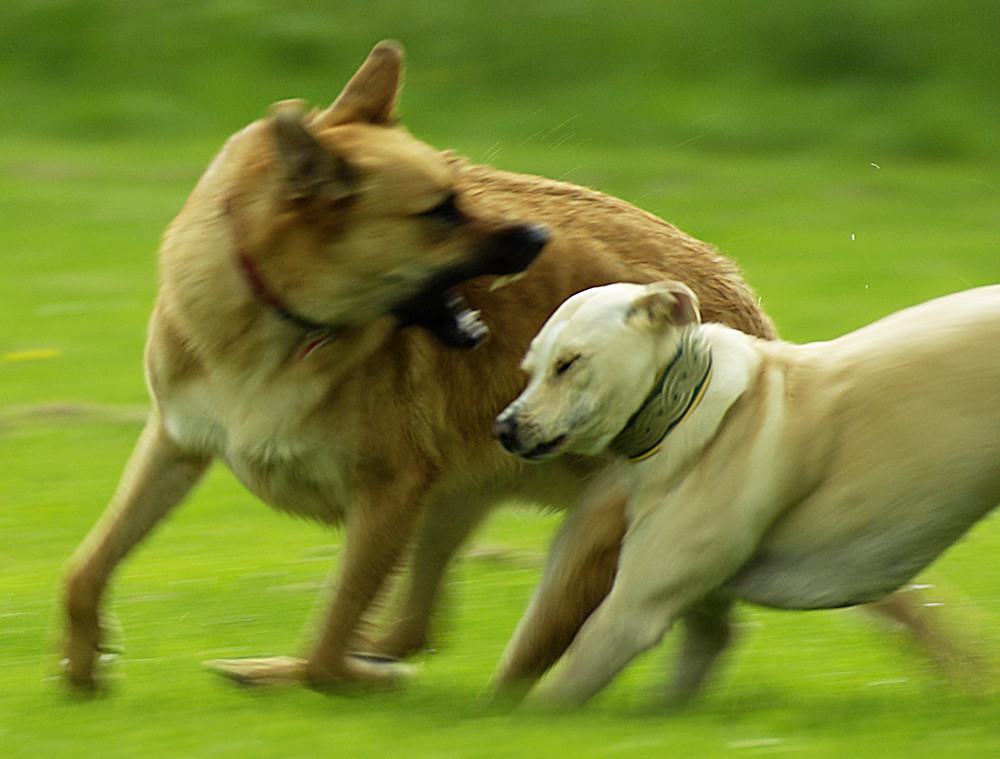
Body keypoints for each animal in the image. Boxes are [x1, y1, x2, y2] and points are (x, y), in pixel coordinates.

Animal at [60, 43, 936, 696]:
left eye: (460, 185)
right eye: (439, 210)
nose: (538, 239)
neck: (273, 317)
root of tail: (753, 329)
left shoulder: (390, 494)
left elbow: (329, 640)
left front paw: (341, 675)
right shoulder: (176, 444)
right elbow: (87, 564)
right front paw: (81, 664)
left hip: (559, 532)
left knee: (483, 645)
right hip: (457, 501)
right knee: (420, 623)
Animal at [492, 282, 1000, 708]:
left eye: (569, 362)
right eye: (529, 369)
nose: (504, 429)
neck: (683, 406)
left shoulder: (629, 615)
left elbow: (552, 699)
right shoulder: (704, 619)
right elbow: (674, 689)